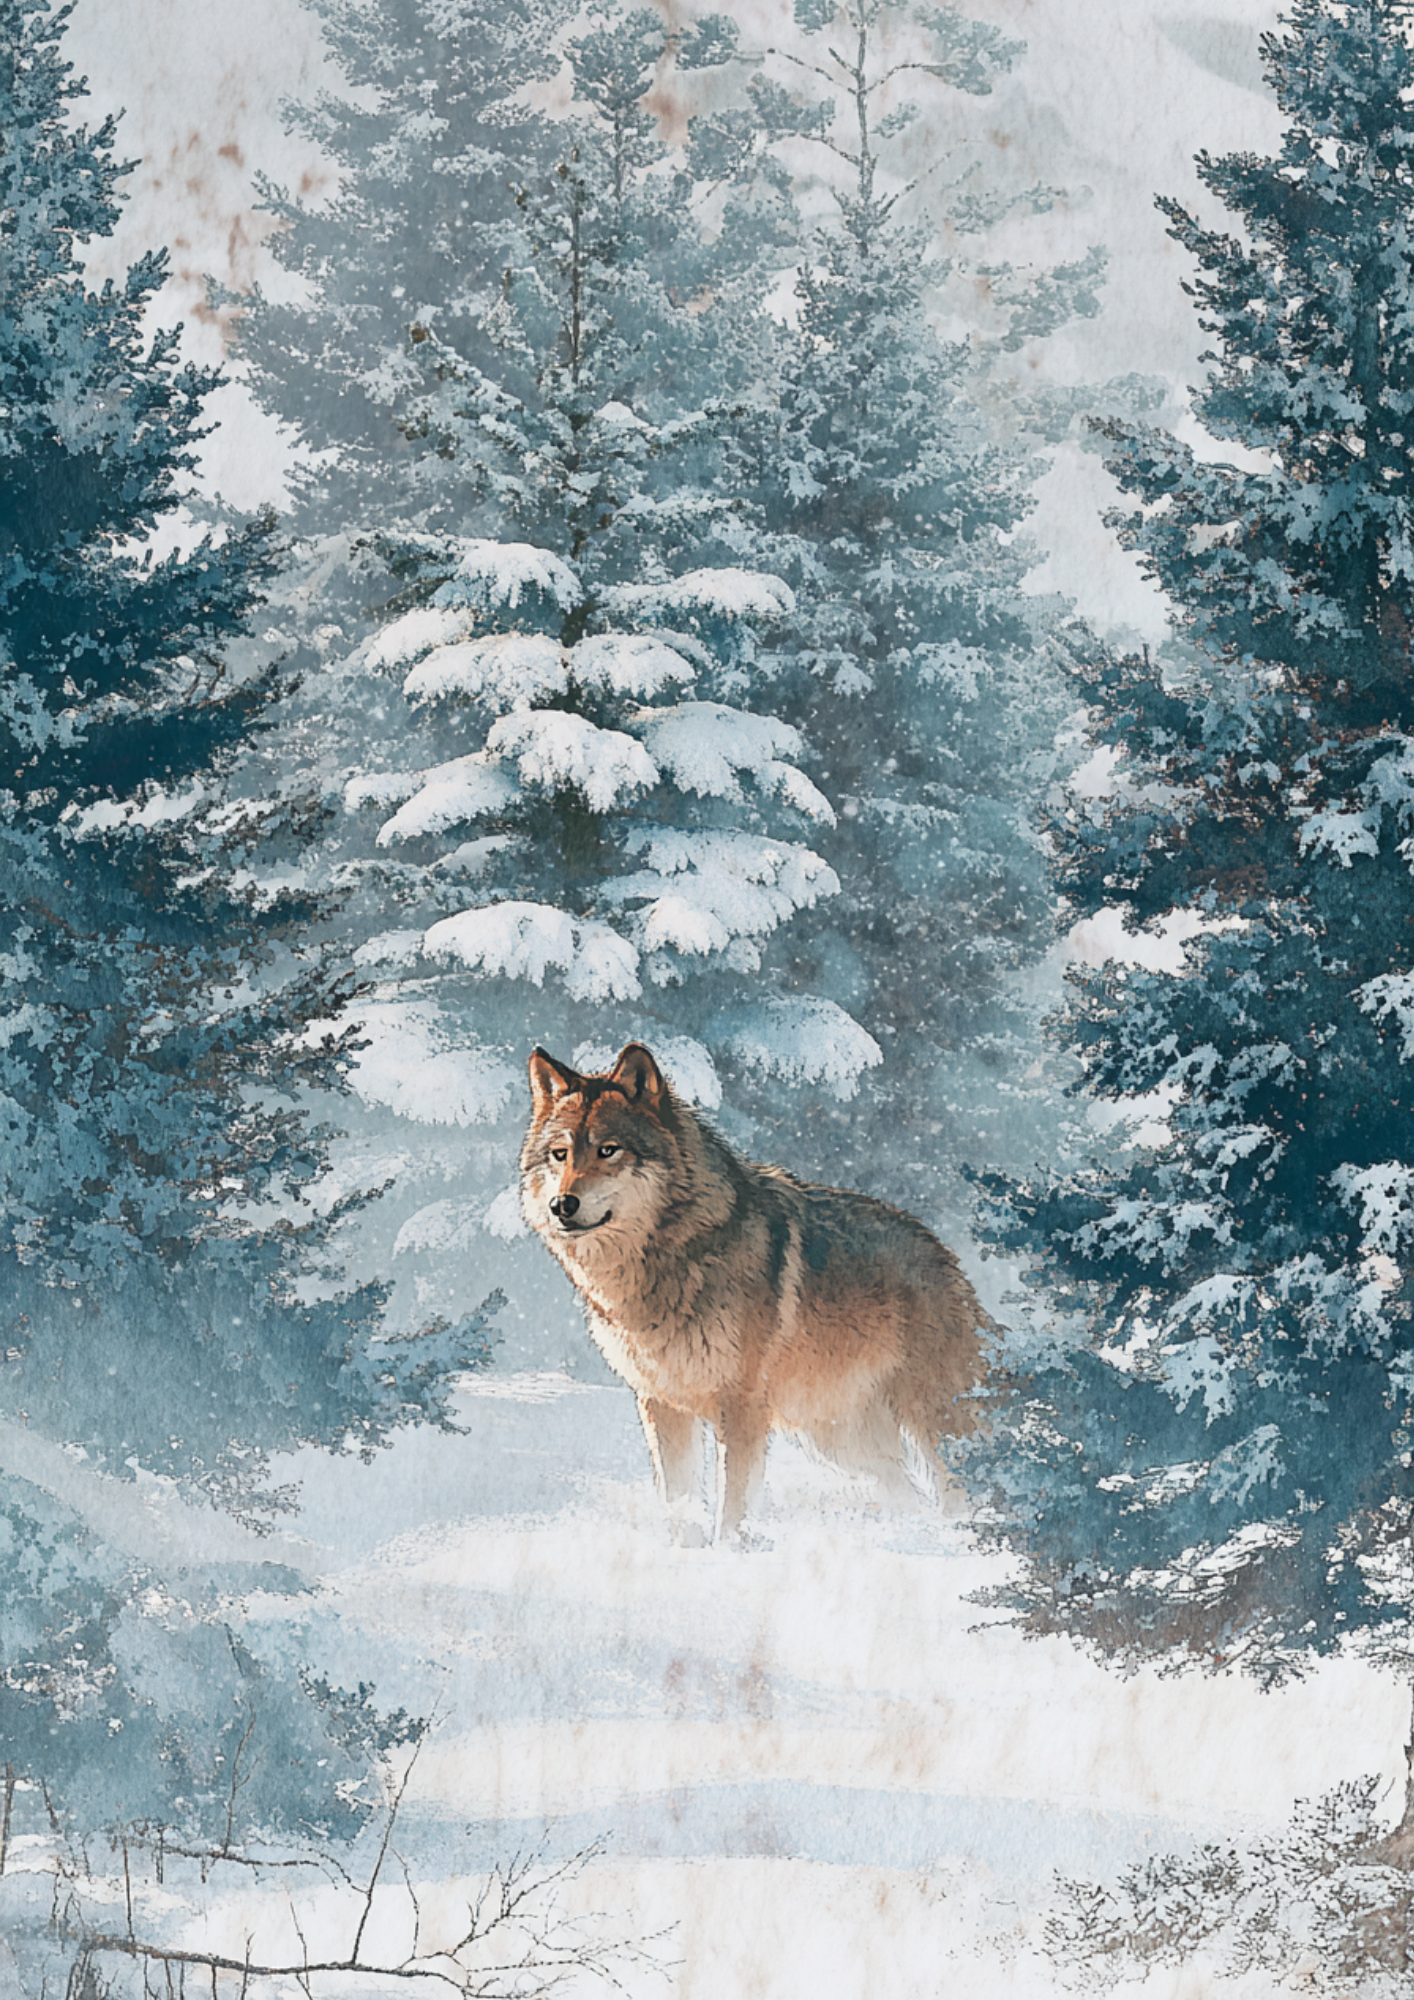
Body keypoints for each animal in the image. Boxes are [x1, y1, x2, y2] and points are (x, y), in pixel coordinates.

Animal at [520, 1042, 988, 1544]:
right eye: (560, 1154)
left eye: (608, 1150)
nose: (562, 1205)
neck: (668, 1259)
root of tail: (943, 1253)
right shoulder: (661, 1404)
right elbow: (678, 1496)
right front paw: (683, 1551)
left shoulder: (740, 1404)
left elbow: (732, 1501)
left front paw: (726, 1552)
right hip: (836, 1437)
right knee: (906, 1490)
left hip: (932, 1419)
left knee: (958, 1485)